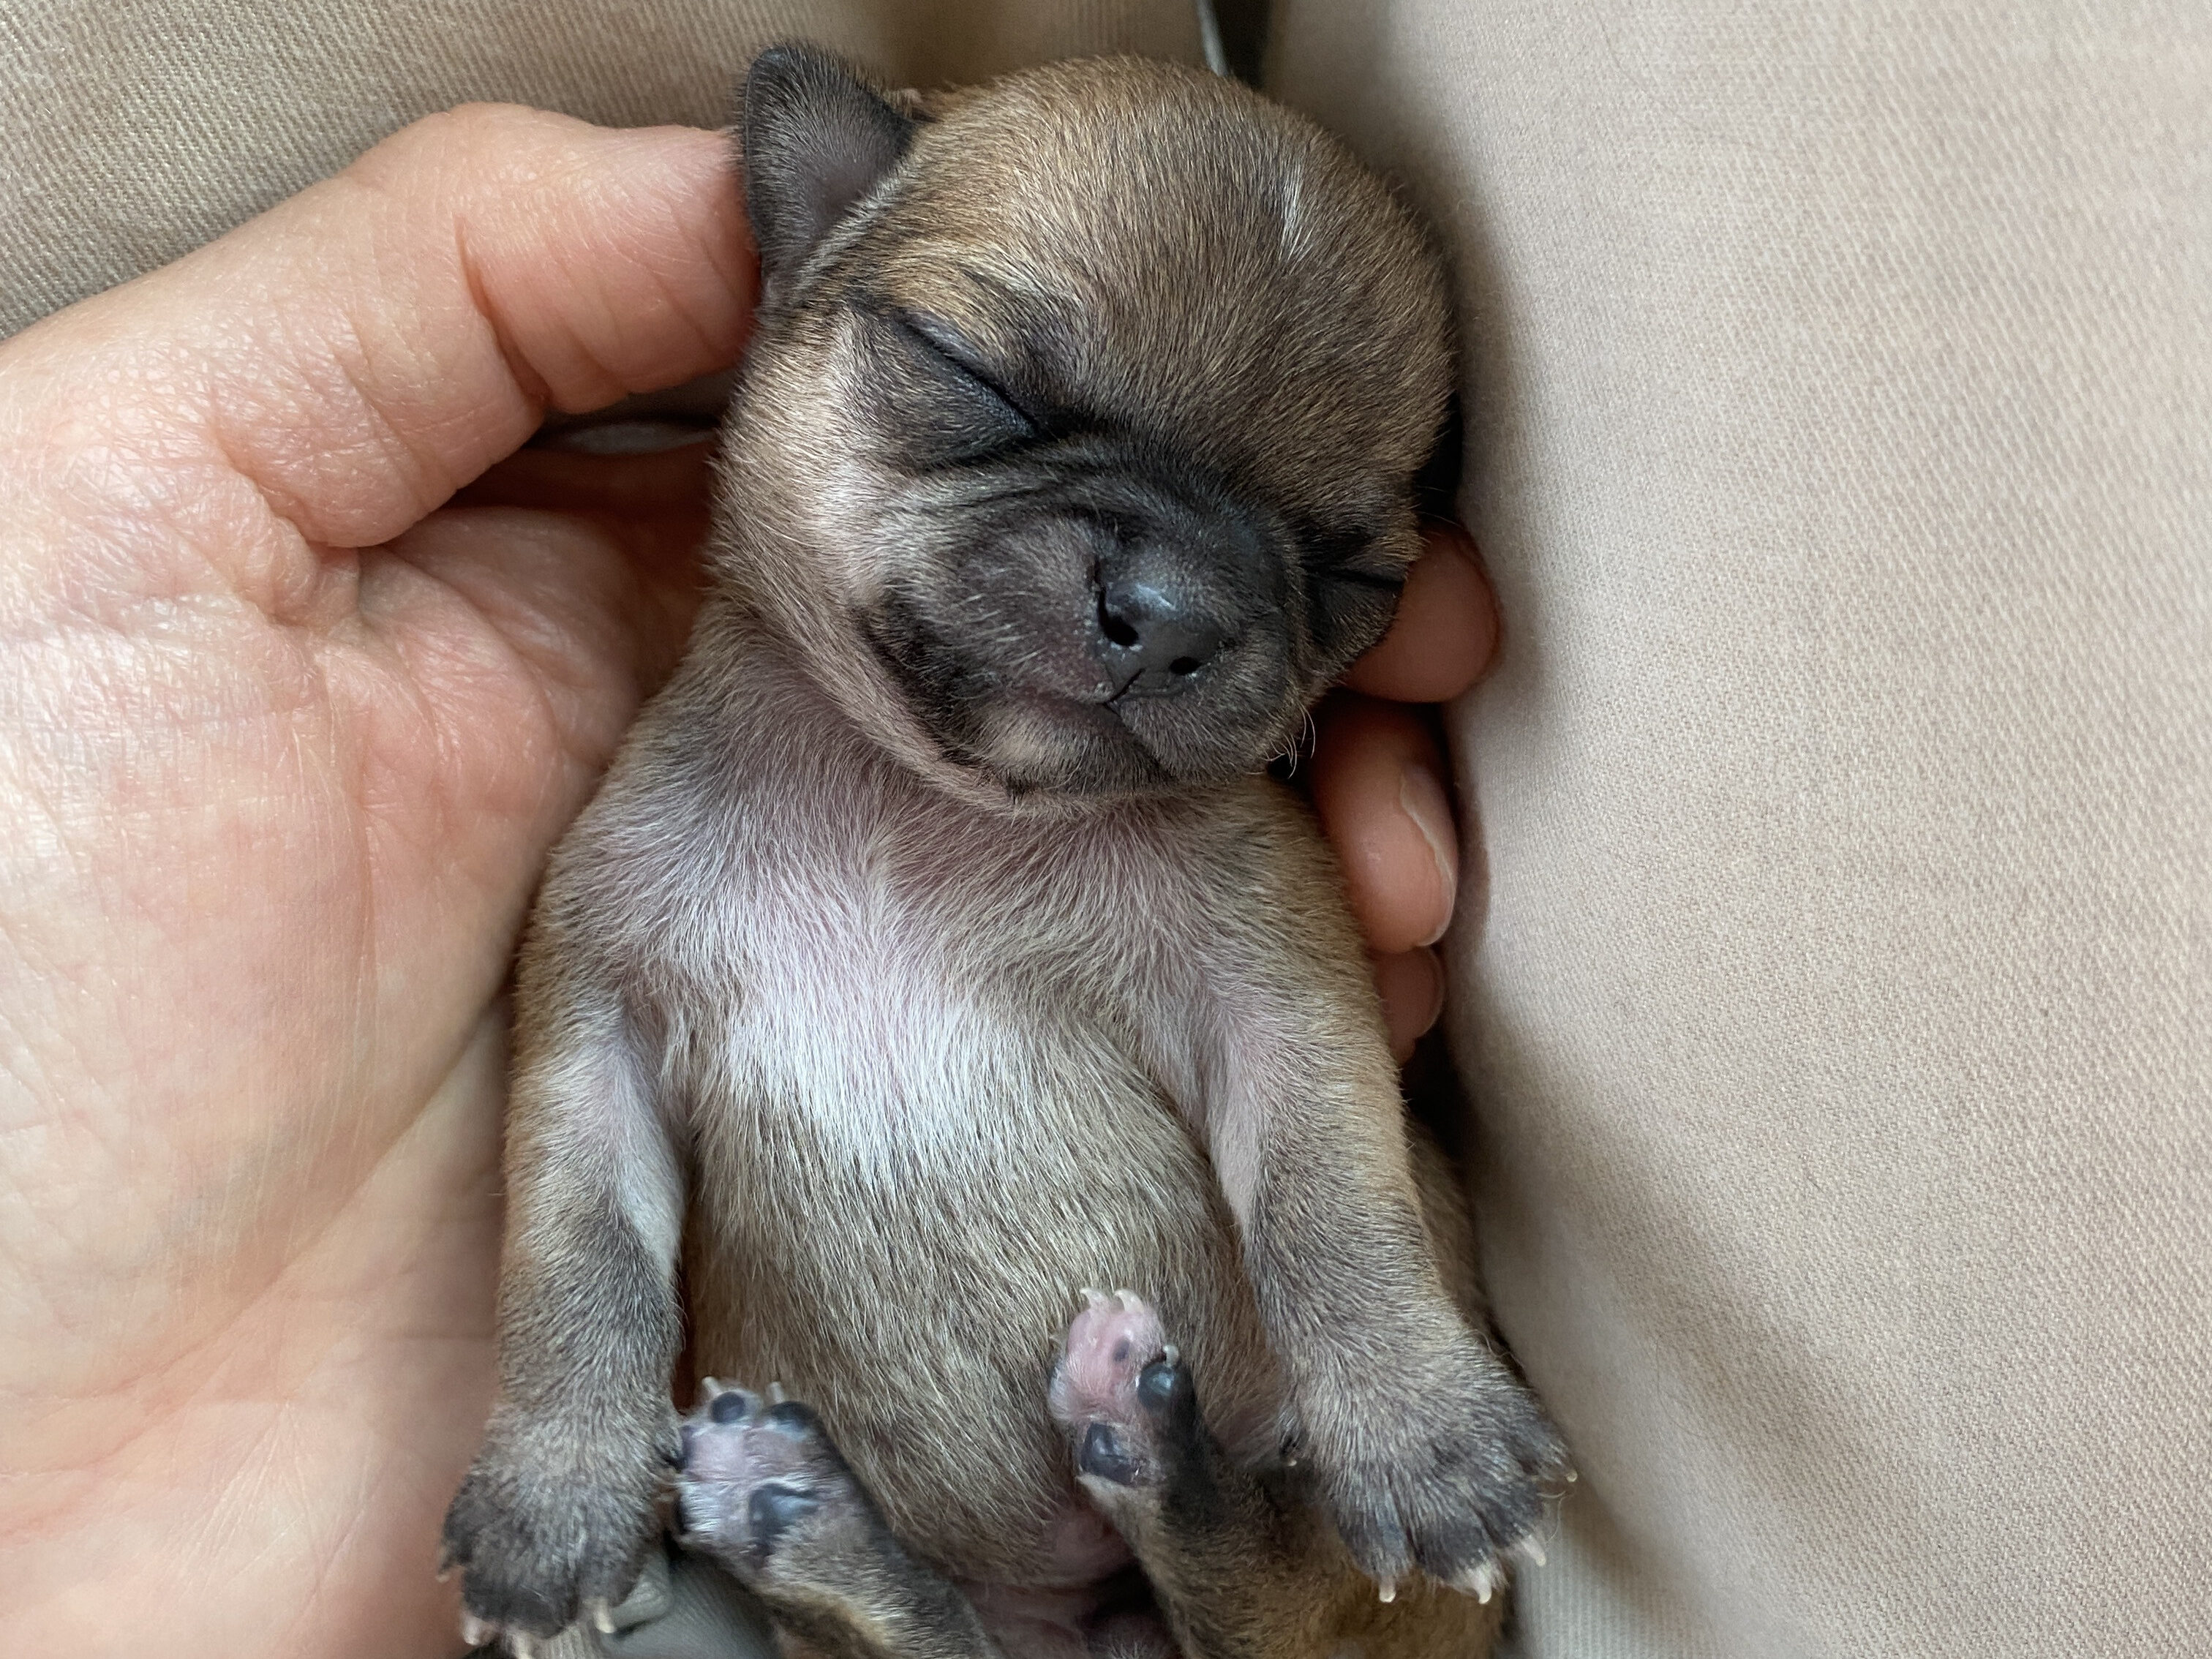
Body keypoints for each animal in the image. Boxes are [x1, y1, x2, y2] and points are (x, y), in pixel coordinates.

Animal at [439, 45, 1567, 1659]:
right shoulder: (595, 1025)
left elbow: (1334, 1207)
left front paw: (1423, 1426)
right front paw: (553, 1498)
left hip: (1333, 1603)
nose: (1169, 610)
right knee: (940, 1636)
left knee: (1256, 1581)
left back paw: (1147, 1452)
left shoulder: (1279, 1000)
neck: (932, 802)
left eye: (1352, 572)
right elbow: (573, 1264)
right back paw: (806, 1519)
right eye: (973, 376)